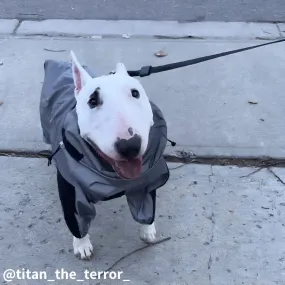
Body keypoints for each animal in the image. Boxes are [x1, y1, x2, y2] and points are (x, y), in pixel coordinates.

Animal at [39, 51, 169, 260]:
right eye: (92, 101)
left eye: (135, 93)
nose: (129, 146)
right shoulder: (71, 190)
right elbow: (76, 219)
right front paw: (82, 244)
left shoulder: (147, 181)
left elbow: (148, 207)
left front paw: (148, 230)